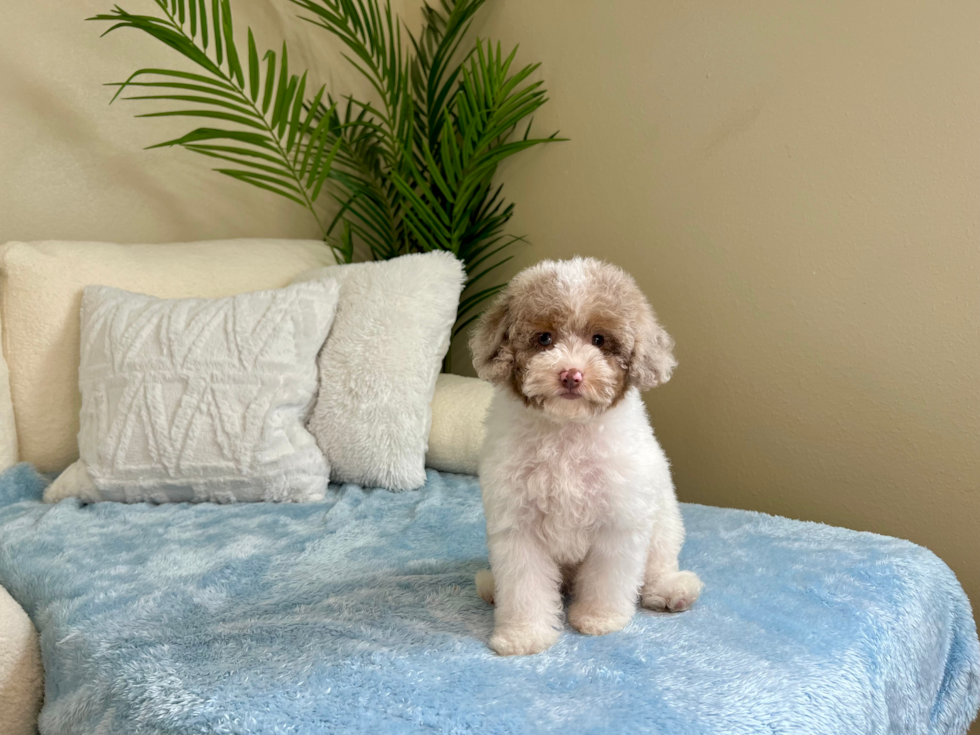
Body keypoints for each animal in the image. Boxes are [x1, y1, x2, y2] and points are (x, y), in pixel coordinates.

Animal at [470, 258, 700, 656]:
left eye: (599, 340)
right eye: (544, 338)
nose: (571, 375)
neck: (567, 431)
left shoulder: (618, 518)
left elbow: (608, 576)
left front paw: (599, 618)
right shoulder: (518, 524)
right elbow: (524, 584)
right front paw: (524, 635)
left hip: (665, 525)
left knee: (657, 565)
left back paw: (672, 591)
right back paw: (492, 590)